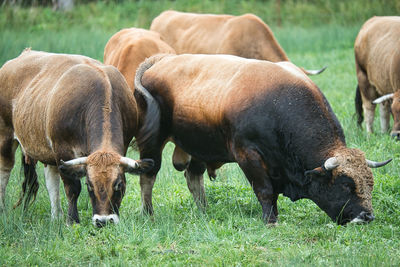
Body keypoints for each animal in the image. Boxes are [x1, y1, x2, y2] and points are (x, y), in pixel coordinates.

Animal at [0, 48, 159, 228]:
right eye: (89, 185)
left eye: (118, 184)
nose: (103, 221)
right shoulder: (62, 150)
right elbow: (72, 187)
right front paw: (72, 220)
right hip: (5, 137)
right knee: (4, 172)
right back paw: (3, 210)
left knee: (51, 181)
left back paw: (56, 216)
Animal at [135, 54, 390, 226]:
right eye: (346, 184)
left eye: (370, 183)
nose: (367, 216)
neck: (280, 103)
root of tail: (161, 60)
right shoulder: (248, 155)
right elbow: (265, 190)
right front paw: (270, 220)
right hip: (153, 141)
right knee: (148, 177)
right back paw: (148, 214)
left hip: (198, 144)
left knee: (193, 177)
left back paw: (204, 211)